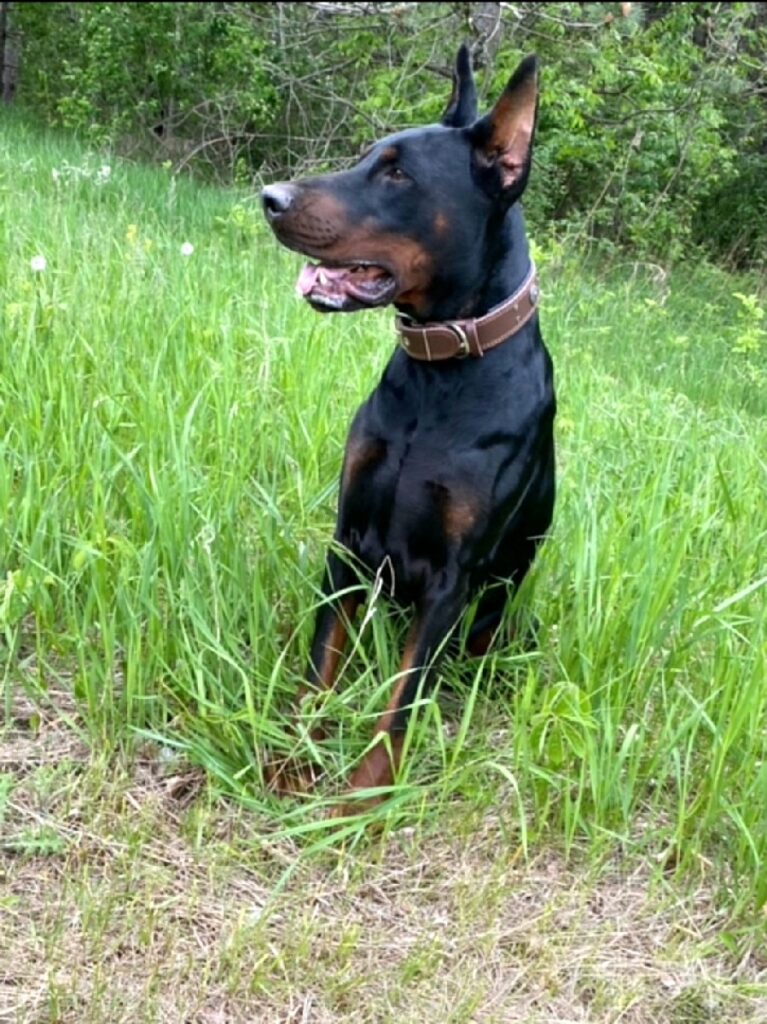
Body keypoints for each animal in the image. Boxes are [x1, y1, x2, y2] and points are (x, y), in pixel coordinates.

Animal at [262, 45, 555, 814]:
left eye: (398, 173)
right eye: (367, 154)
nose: (269, 197)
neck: (440, 374)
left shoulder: (453, 577)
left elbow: (402, 697)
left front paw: (360, 800)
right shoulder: (347, 536)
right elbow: (319, 665)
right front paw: (293, 758)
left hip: (503, 612)